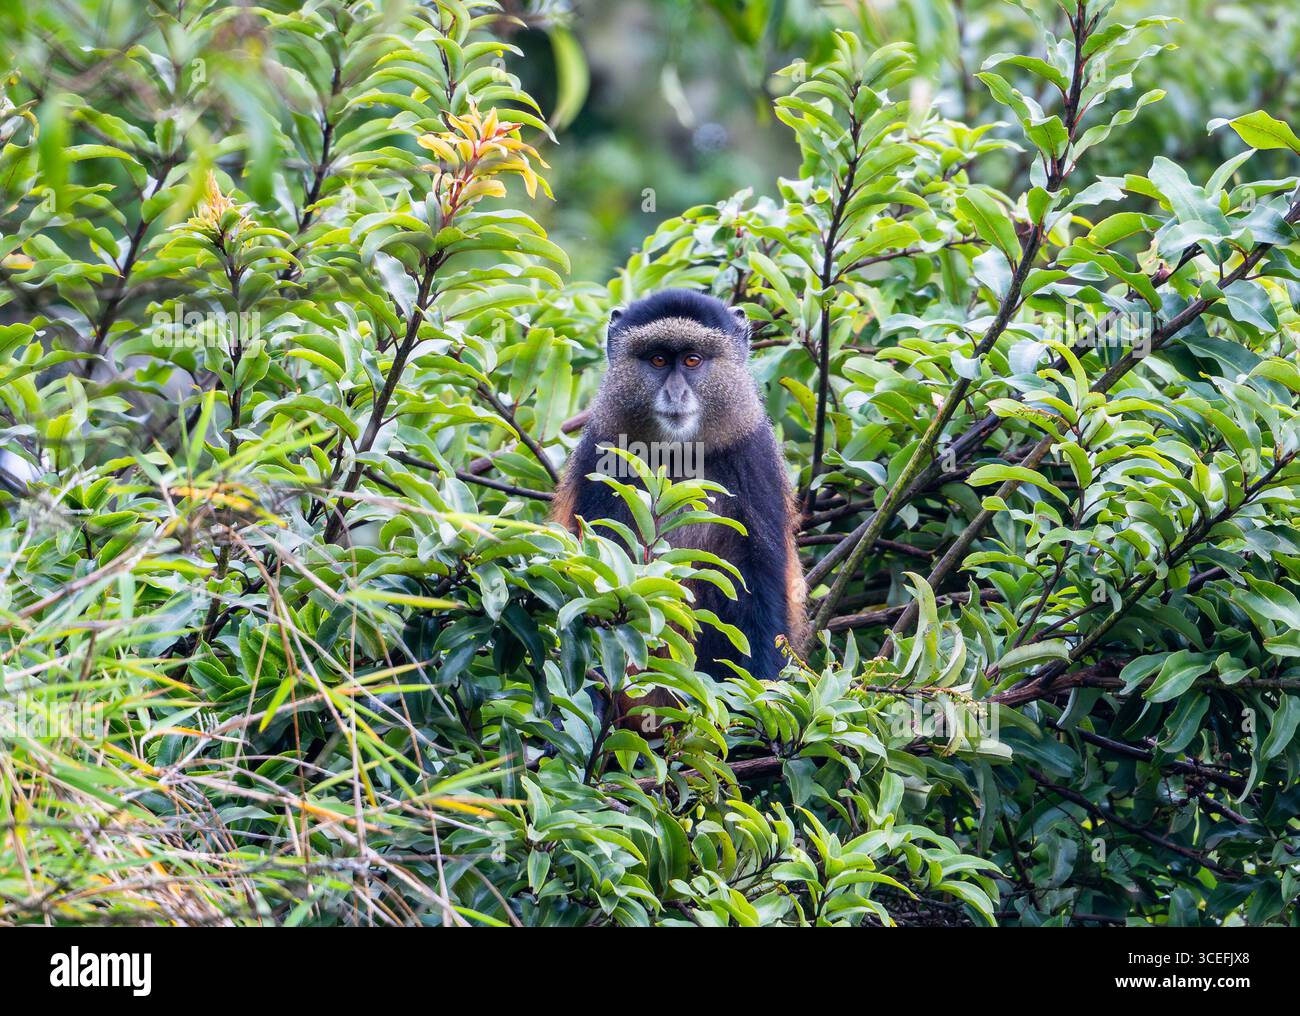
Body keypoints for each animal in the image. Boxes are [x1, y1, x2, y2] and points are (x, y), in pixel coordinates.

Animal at [553, 288, 808, 702]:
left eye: (692, 360)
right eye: (658, 360)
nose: (675, 393)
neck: (676, 454)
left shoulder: (755, 460)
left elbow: (760, 583)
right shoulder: (601, 457)